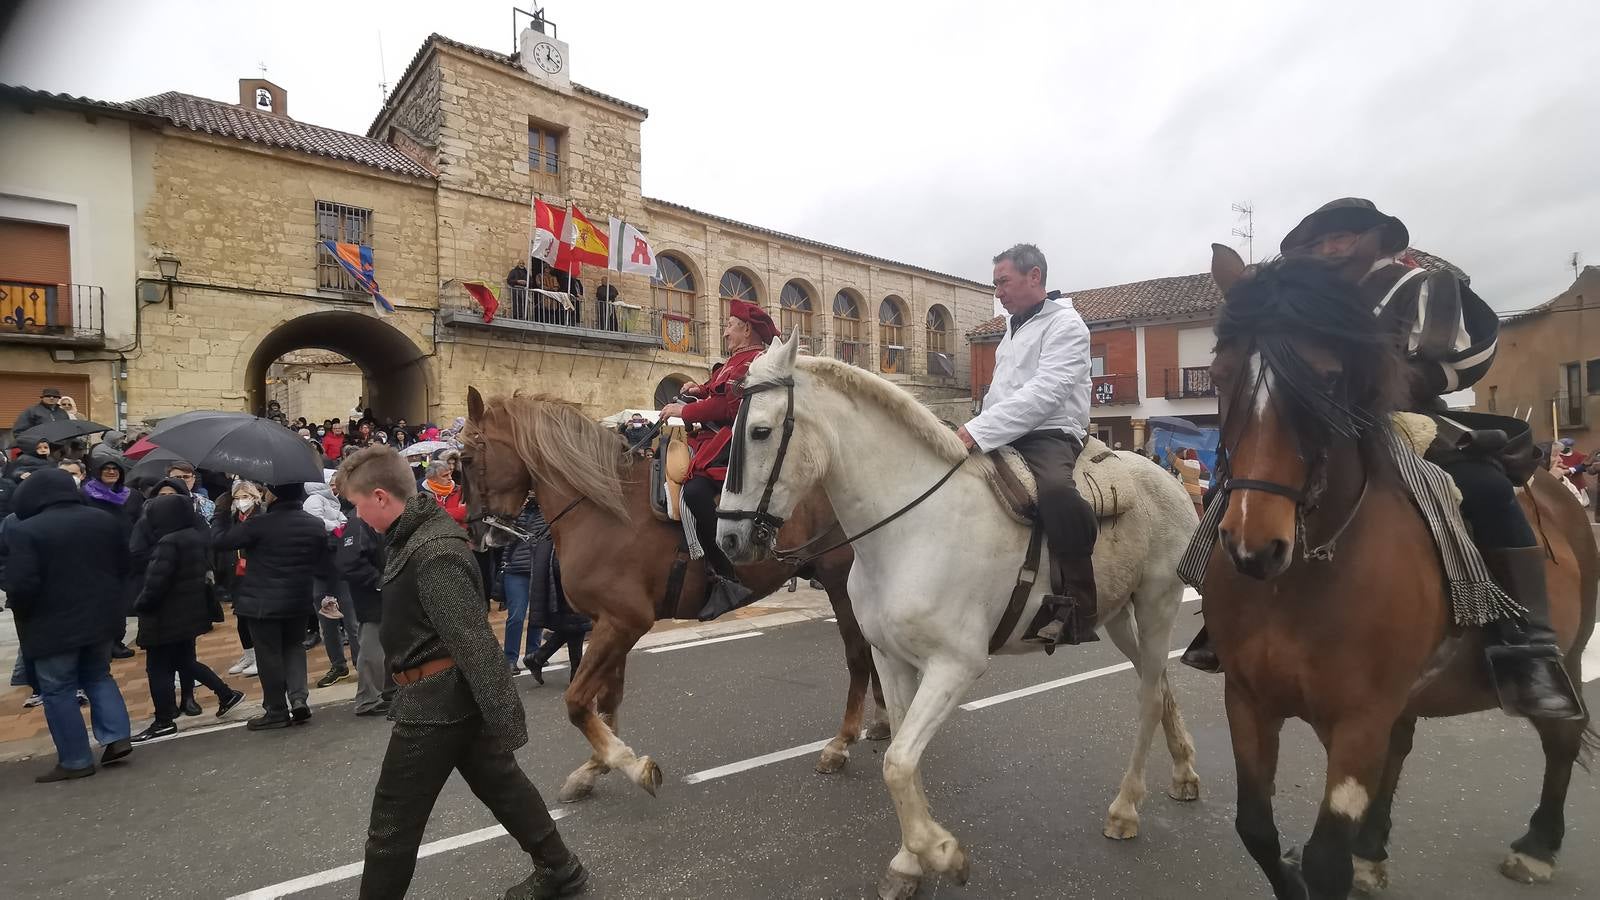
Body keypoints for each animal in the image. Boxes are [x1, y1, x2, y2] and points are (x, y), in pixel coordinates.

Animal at [460, 385, 889, 797]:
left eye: (463, 458)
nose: (478, 535)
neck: (603, 508)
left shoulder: (624, 622)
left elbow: (578, 702)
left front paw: (630, 764)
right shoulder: (610, 623)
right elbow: (607, 700)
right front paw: (595, 767)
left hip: (840, 581)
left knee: (858, 656)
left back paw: (841, 743)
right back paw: (882, 721)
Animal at [713, 336, 1203, 896]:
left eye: (760, 431)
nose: (728, 539)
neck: (909, 528)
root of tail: (1168, 479)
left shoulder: (955, 665)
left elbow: (898, 762)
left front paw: (943, 854)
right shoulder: (892, 661)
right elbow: (902, 758)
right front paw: (909, 862)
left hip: (1158, 603)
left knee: (1148, 697)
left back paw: (1125, 809)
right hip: (1119, 616)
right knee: (1158, 680)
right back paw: (1184, 773)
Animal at [1203, 245, 1593, 896]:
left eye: (1326, 377)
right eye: (1219, 374)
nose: (1253, 546)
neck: (1299, 577)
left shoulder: (1360, 716)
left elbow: (1324, 860)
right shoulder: (1249, 700)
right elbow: (1255, 829)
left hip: (1568, 653)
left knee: (1561, 737)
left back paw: (1539, 845)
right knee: (1404, 745)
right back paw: (1373, 848)